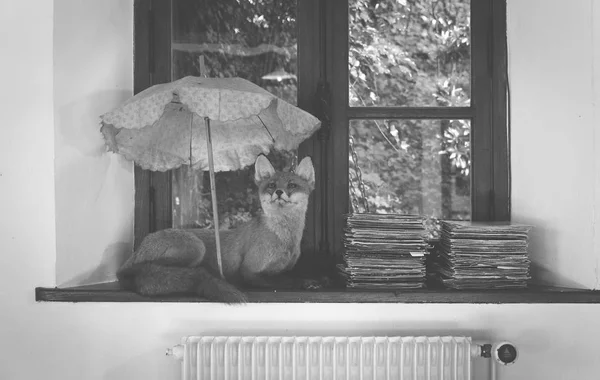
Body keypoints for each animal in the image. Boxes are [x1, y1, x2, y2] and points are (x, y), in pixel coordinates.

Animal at [115, 153, 316, 304]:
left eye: (292, 185)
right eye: (272, 185)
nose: (279, 192)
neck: (284, 240)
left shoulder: (281, 268)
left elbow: (284, 276)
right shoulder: (249, 271)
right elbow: (281, 281)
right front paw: (302, 282)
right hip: (196, 248)